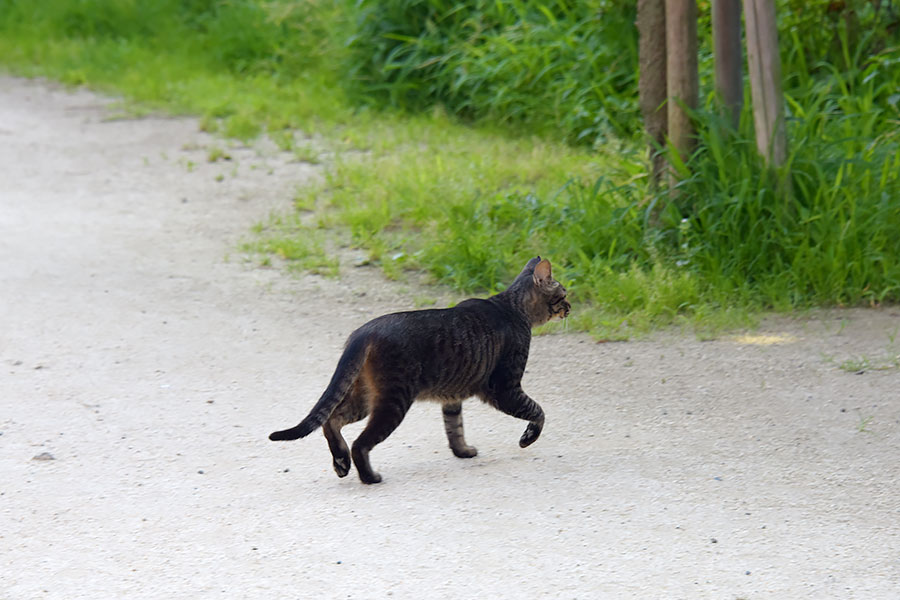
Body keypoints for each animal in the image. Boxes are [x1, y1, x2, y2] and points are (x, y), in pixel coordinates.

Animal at [268, 255, 568, 486]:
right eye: (563, 294)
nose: (570, 307)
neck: (512, 308)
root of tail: (363, 332)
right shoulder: (504, 388)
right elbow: (538, 411)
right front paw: (527, 438)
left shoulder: (453, 396)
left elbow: (454, 428)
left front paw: (463, 451)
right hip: (394, 400)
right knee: (359, 442)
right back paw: (369, 477)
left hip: (365, 397)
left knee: (331, 420)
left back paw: (341, 463)